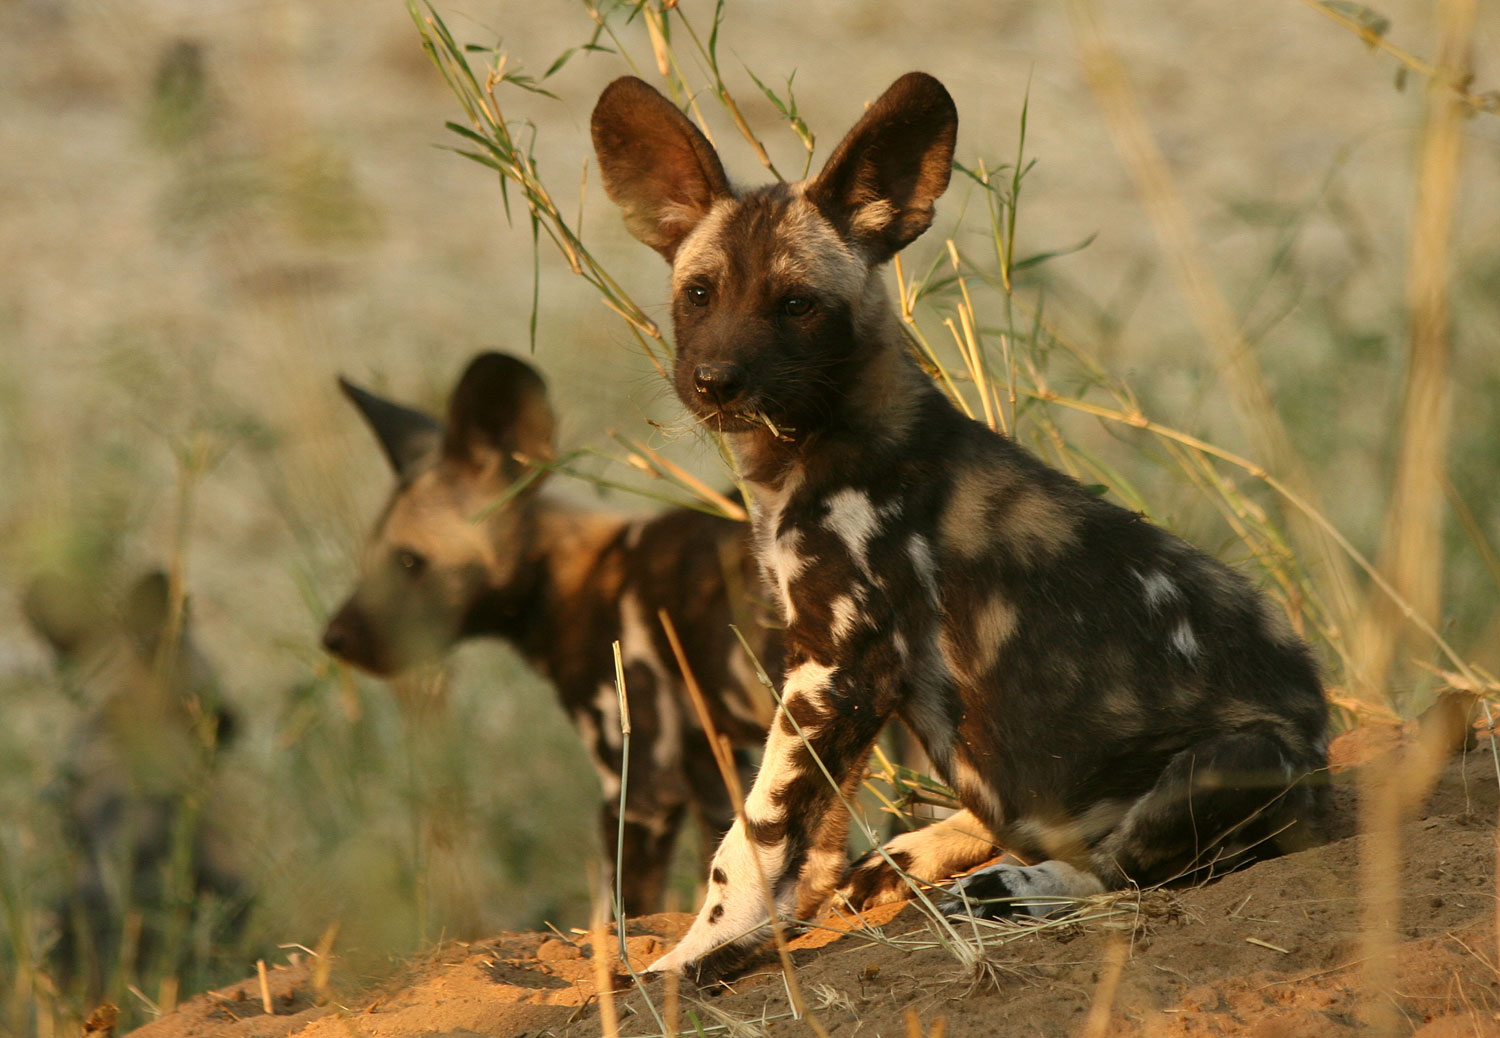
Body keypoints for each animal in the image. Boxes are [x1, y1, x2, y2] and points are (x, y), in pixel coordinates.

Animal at [324, 352, 780, 912]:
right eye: (366, 563)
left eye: (409, 562)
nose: (333, 637)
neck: (568, 577)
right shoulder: (712, 763)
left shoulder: (640, 786)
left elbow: (618, 910)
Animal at [591, 73, 1332, 984]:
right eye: (700, 294)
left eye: (797, 305)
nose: (715, 380)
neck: (809, 454)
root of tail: (1319, 738)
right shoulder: (834, 677)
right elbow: (811, 843)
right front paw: (759, 936)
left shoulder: (838, 668)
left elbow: (754, 837)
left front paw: (691, 960)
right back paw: (915, 862)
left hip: (1238, 760)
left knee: (1121, 870)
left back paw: (1007, 887)